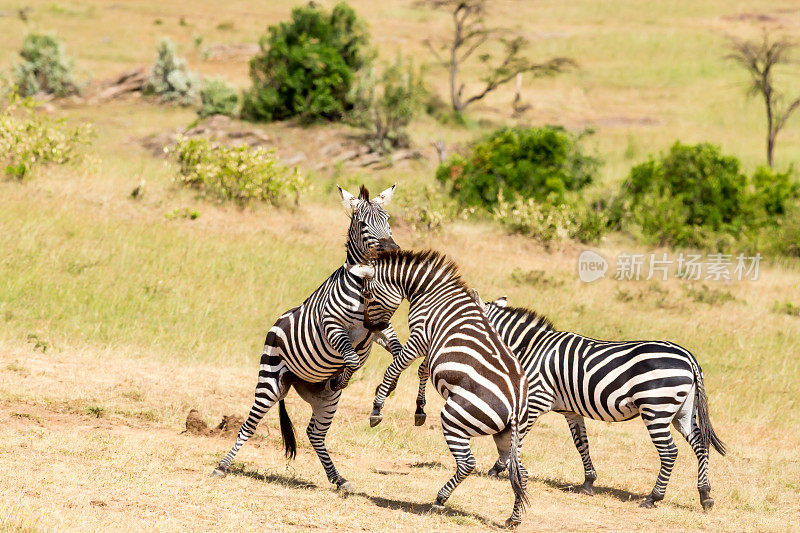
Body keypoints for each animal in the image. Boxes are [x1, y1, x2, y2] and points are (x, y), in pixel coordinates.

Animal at [211, 184, 404, 490]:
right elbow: (351, 358)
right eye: (363, 224)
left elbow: (398, 353)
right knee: (249, 425)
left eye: (388, 220)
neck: (364, 284)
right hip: (269, 382)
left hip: (325, 401)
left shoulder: (380, 327)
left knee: (315, 433)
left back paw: (339, 479)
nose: (392, 250)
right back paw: (222, 466)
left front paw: (386, 392)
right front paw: (341, 378)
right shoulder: (332, 328)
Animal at [350, 250, 532, 528]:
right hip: (508, 436)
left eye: (368, 295)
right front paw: (419, 410)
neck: (429, 290)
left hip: (455, 417)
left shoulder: (420, 336)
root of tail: (516, 403)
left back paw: (440, 499)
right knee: (519, 470)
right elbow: (422, 370)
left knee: (467, 463)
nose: (371, 328)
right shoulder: (428, 344)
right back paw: (514, 517)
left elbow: (396, 366)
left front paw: (377, 408)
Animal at [416, 294, 728, 510]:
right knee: (700, 445)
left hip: (657, 409)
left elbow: (517, 438)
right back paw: (705, 495)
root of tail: (688, 356)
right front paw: (589, 481)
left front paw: (499, 468)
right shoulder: (570, 410)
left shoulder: (535, 400)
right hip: (681, 411)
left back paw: (653, 497)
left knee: (670, 452)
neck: (530, 348)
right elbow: (582, 444)